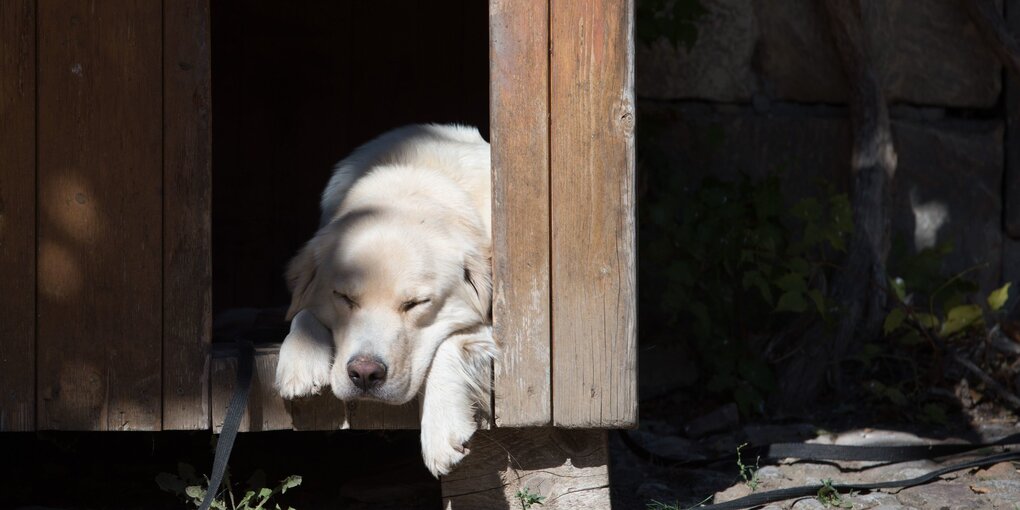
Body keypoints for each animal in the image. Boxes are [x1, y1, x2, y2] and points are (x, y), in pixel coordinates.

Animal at [271, 124, 493, 477]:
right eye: (345, 297)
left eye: (416, 303)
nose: (365, 374)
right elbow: (302, 311)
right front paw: (301, 360)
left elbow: (449, 343)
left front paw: (441, 426)